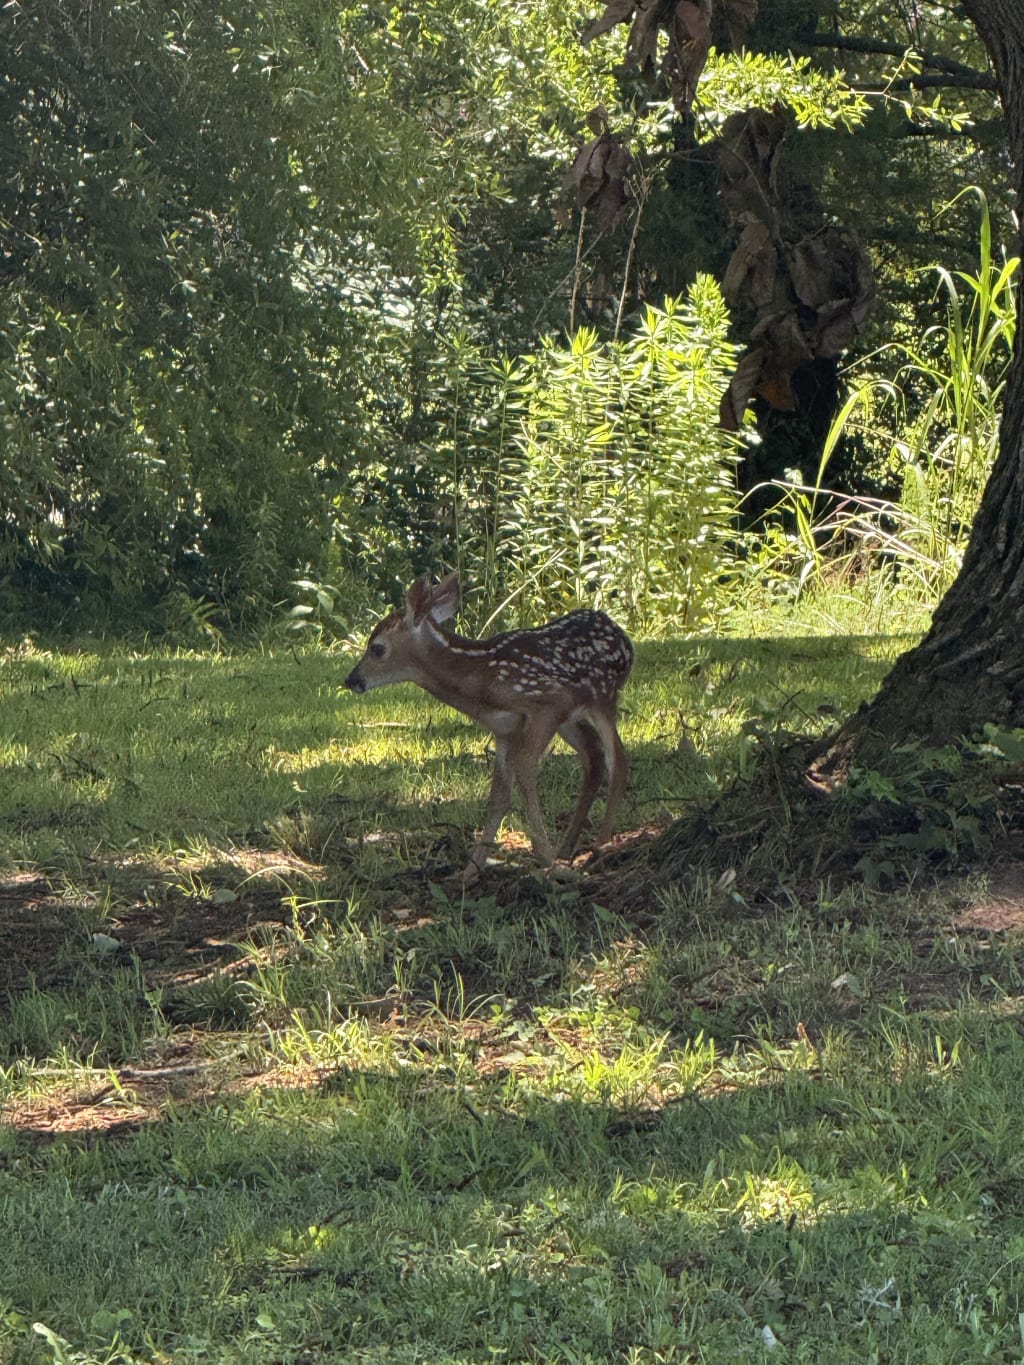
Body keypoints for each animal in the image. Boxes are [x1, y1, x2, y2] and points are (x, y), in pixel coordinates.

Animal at [344, 574, 633, 878]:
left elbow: (525, 772)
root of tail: (622, 636)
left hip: (603, 695)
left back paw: (599, 849)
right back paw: (568, 850)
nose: (352, 680)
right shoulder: (504, 729)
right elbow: (499, 797)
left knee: (618, 759)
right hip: (573, 720)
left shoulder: (547, 705)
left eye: (377, 649)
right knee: (594, 755)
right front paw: (469, 872)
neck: (480, 678)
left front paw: (548, 862)